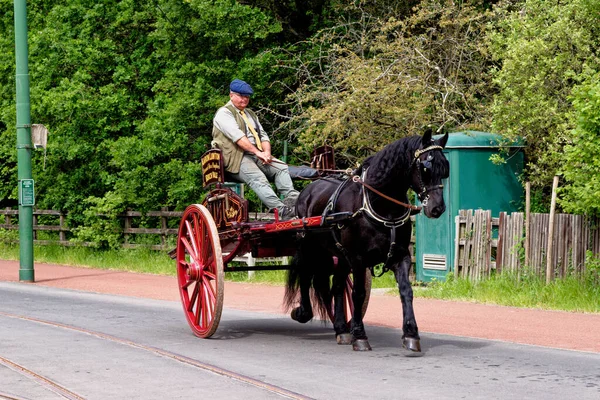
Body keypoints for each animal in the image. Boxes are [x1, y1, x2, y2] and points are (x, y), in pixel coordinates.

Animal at [284, 130, 448, 354]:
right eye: (425, 167)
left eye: (445, 168)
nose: (437, 208)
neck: (381, 206)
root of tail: (308, 190)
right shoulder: (358, 258)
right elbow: (358, 294)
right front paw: (360, 336)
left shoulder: (400, 256)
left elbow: (406, 290)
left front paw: (411, 333)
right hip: (311, 248)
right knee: (306, 275)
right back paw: (304, 313)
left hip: (340, 256)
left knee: (335, 286)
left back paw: (341, 328)